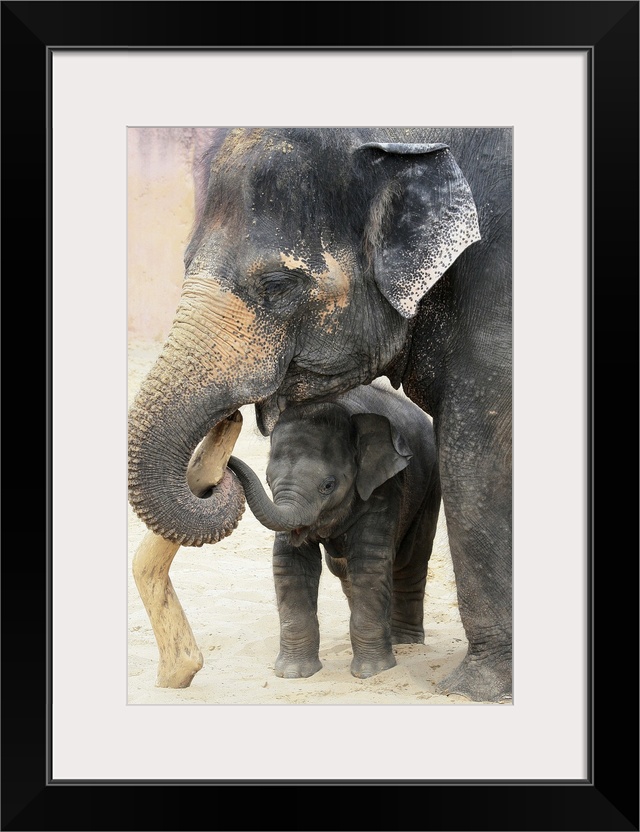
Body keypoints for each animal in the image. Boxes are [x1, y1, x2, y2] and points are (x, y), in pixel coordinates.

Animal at [228, 380, 442, 680]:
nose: (226, 462)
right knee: (342, 568)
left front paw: (371, 672)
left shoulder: (384, 486)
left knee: (411, 560)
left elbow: (369, 563)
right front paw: (293, 674)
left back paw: (404, 642)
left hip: (430, 483)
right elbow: (291, 563)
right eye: (268, 480)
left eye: (328, 485)